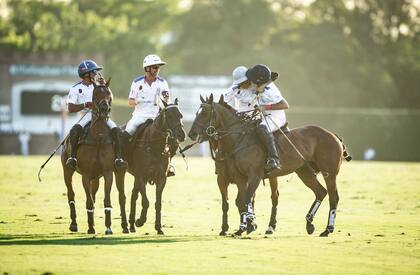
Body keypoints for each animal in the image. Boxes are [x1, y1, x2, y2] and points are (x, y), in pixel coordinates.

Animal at [60, 79, 127, 235]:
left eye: (109, 93)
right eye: (95, 94)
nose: (104, 108)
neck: (98, 138)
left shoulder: (108, 173)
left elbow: (106, 200)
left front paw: (108, 228)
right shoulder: (85, 174)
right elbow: (88, 201)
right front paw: (91, 228)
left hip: (99, 176)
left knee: (98, 195)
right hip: (67, 171)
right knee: (71, 195)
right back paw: (74, 224)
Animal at [126, 99, 185, 235]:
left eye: (181, 115)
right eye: (169, 116)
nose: (182, 135)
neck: (154, 147)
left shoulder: (161, 178)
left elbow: (158, 203)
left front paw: (158, 227)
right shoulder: (142, 176)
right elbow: (146, 201)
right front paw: (140, 221)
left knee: (134, 195)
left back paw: (131, 225)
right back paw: (131, 224)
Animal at [188, 95, 352, 237]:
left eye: (205, 113)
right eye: (196, 112)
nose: (191, 134)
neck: (239, 139)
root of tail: (334, 135)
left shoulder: (254, 175)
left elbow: (247, 199)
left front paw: (250, 225)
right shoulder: (239, 178)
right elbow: (241, 201)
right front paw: (243, 227)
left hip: (329, 172)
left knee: (333, 197)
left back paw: (328, 229)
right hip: (304, 172)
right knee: (320, 192)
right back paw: (309, 224)